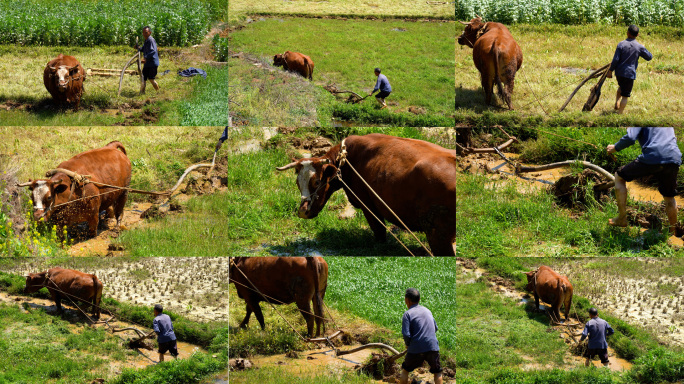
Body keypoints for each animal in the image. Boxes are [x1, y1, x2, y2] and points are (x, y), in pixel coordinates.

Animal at [276, 134, 456, 256]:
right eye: (297, 182)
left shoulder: (368, 205)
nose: (302, 212)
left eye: (317, 181)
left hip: (437, 234)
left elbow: (379, 231)